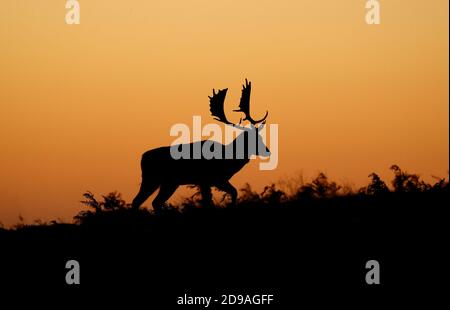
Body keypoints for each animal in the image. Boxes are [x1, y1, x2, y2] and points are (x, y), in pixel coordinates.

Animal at [132, 78, 268, 212]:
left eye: (260, 137)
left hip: (169, 183)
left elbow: (230, 193)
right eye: (252, 139)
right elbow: (216, 199)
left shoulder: (214, 180)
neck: (228, 159)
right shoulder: (209, 179)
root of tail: (142, 158)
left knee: (154, 202)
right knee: (137, 201)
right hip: (151, 179)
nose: (268, 151)